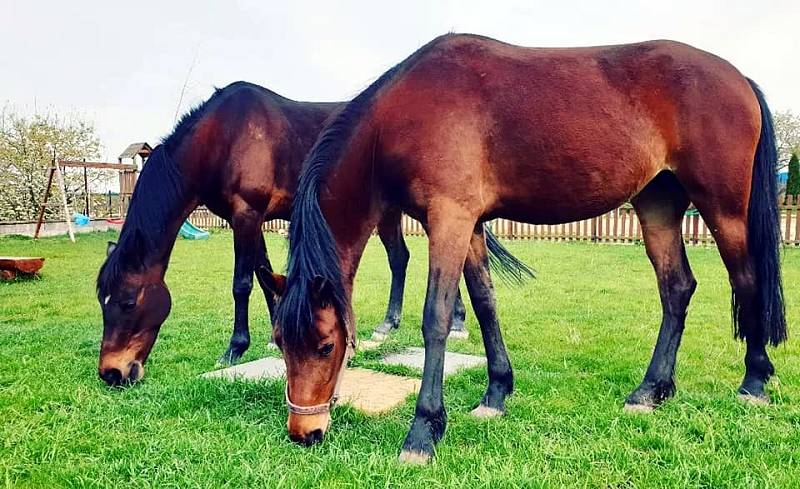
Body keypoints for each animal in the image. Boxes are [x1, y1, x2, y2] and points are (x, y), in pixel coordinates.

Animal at [95, 80, 532, 386]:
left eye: (128, 302)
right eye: (102, 301)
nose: (112, 372)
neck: (223, 136)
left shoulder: (246, 214)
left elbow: (242, 282)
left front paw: (234, 349)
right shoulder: (254, 219)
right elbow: (266, 276)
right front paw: (276, 336)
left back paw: (449, 325)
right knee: (403, 258)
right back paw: (396, 325)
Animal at [272, 34, 784, 462]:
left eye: (325, 345)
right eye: (278, 342)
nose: (304, 433)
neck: (402, 115)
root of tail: (739, 78)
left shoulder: (450, 219)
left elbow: (436, 318)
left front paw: (423, 432)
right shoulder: (471, 226)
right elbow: (484, 304)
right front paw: (496, 395)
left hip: (723, 207)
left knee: (747, 280)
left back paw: (754, 381)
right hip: (657, 203)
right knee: (676, 288)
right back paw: (651, 391)